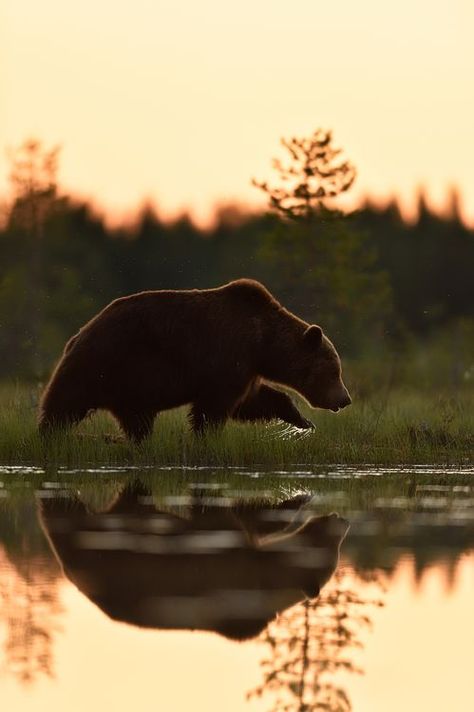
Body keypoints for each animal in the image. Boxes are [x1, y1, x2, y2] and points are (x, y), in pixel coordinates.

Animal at [39, 278, 350, 440]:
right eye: (334, 371)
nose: (345, 399)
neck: (262, 342)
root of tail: (79, 333)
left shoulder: (245, 369)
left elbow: (255, 400)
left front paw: (302, 421)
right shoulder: (228, 355)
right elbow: (214, 407)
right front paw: (206, 436)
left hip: (128, 386)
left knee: (137, 418)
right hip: (105, 362)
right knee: (64, 403)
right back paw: (49, 434)